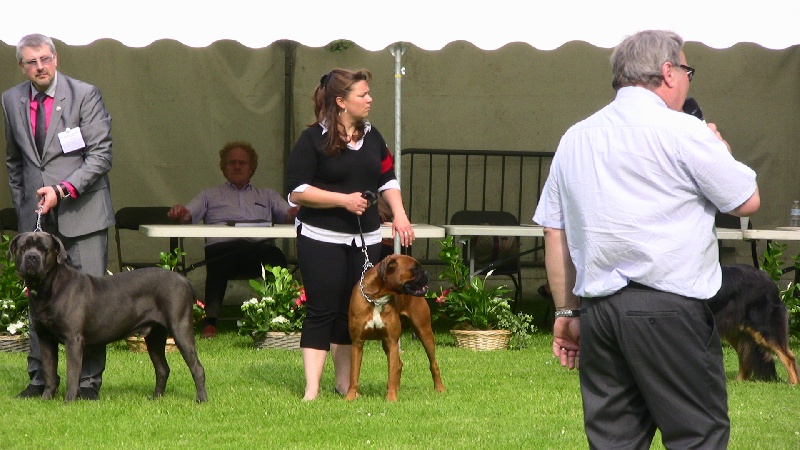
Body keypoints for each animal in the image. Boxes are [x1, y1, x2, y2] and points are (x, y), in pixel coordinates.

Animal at [10, 231, 207, 402]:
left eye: (44, 249)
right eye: (23, 247)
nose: (32, 257)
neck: (47, 288)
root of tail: (183, 279)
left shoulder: (73, 340)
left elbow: (72, 374)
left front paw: (69, 402)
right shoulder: (45, 339)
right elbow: (49, 372)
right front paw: (45, 399)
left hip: (180, 328)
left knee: (197, 367)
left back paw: (201, 400)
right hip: (155, 336)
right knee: (162, 368)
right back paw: (156, 398)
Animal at [347, 254, 445, 401]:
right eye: (415, 269)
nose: (427, 273)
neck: (376, 299)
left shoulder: (391, 342)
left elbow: (391, 374)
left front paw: (391, 398)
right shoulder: (357, 343)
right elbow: (353, 374)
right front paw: (350, 397)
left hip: (424, 332)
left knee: (433, 363)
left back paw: (440, 388)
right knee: (399, 364)